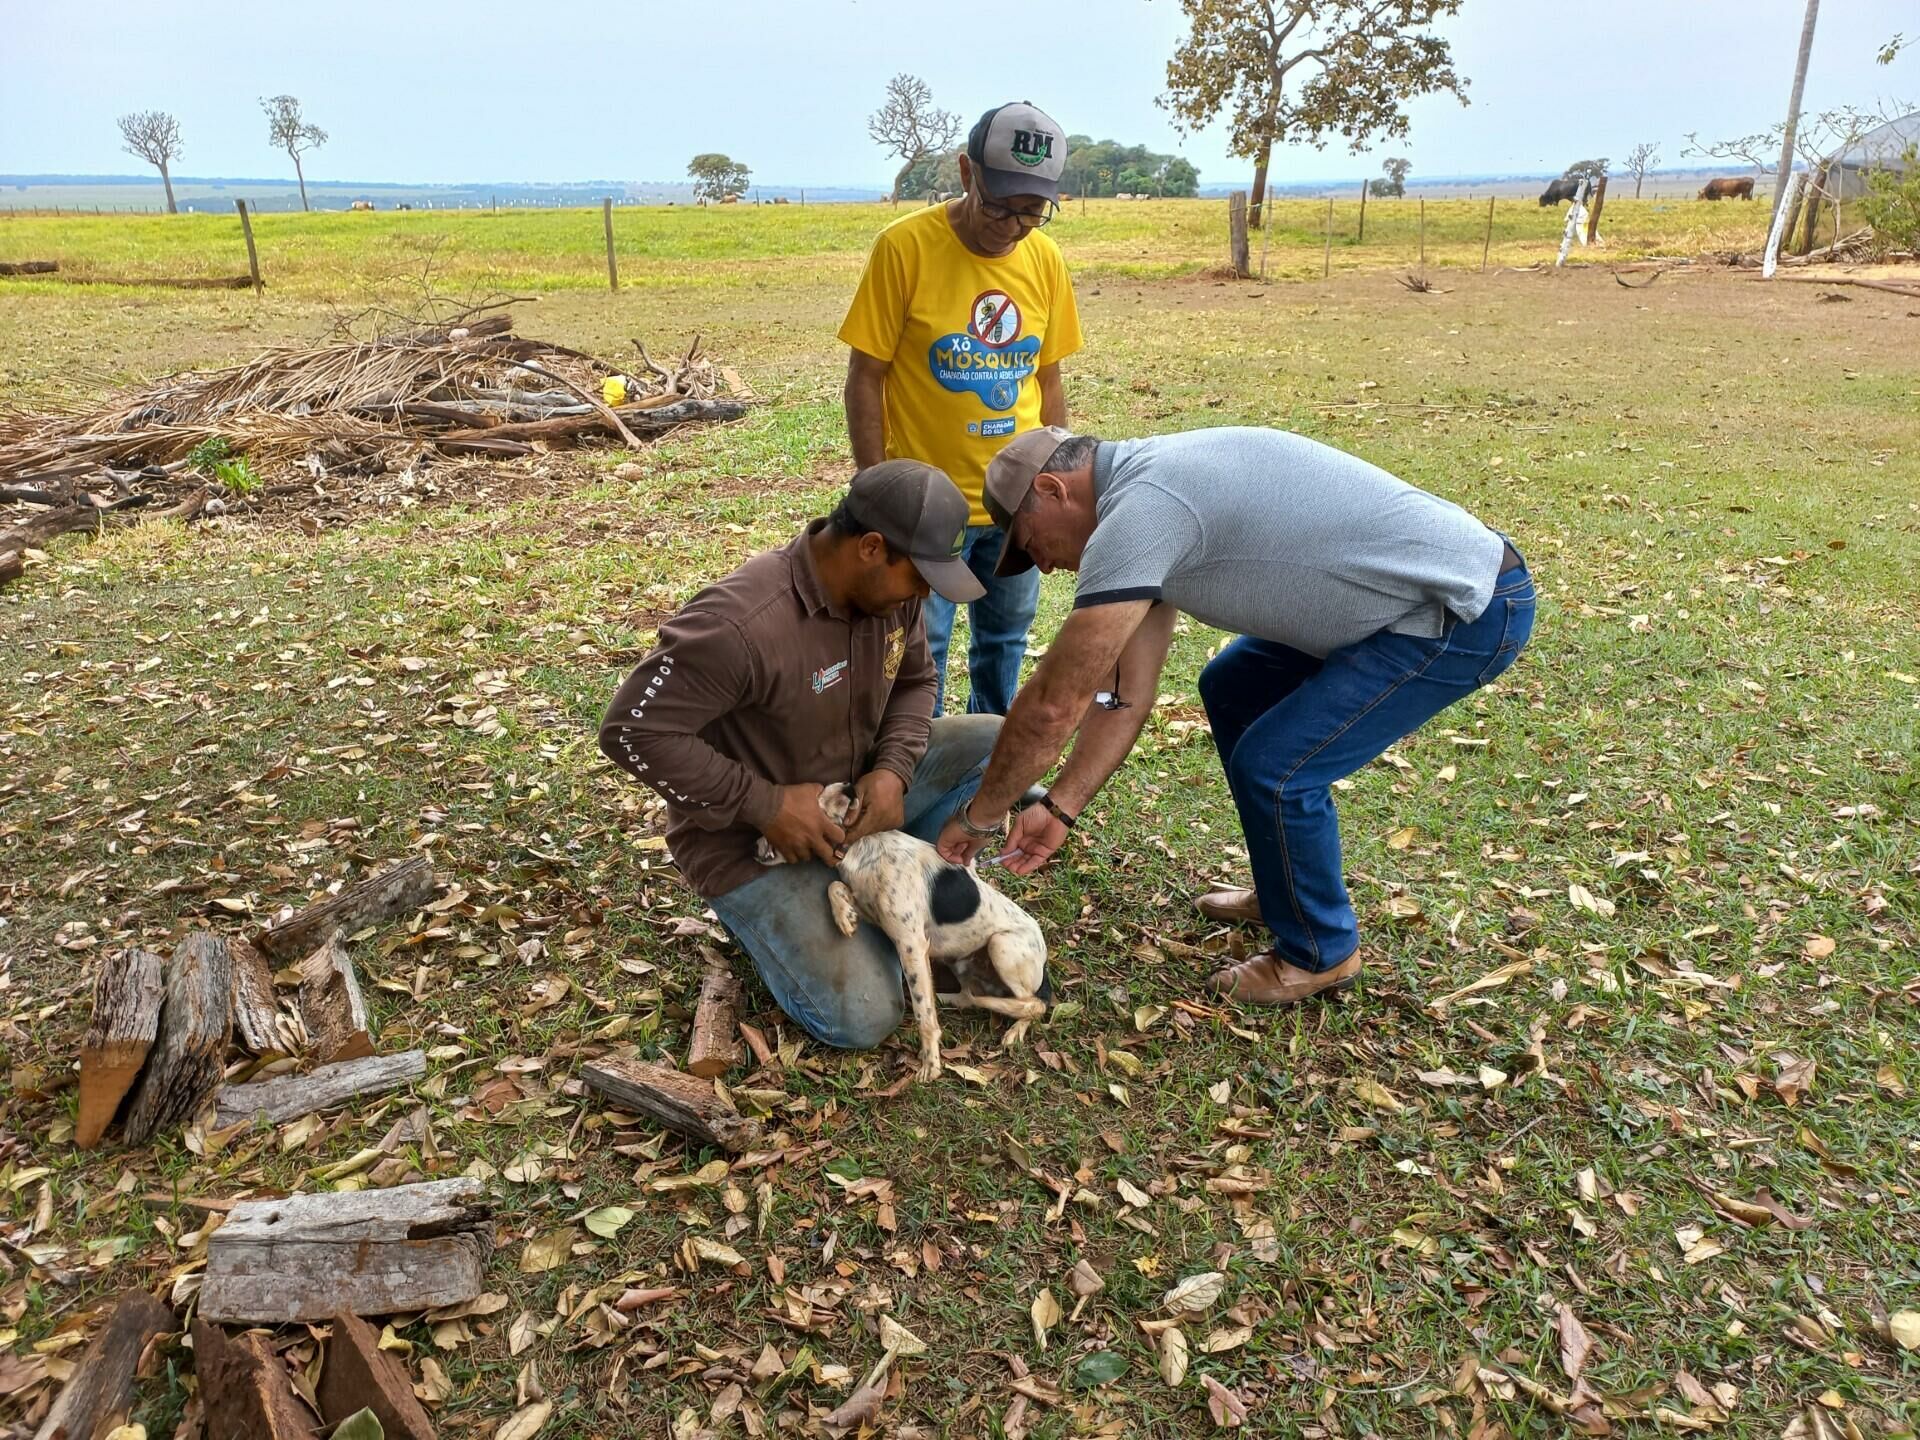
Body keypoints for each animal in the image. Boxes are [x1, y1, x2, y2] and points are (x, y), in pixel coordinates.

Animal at [752, 791, 1052, 1082]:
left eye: (790, 820)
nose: (754, 845)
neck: (865, 846)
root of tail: (1044, 960)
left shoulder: (911, 945)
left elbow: (923, 1014)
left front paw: (931, 1063)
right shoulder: (871, 909)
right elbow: (834, 886)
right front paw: (844, 917)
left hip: (1002, 946)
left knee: (1035, 1005)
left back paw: (1014, 1030)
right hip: (965, 962)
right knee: (977, 996)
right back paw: (954, 998)